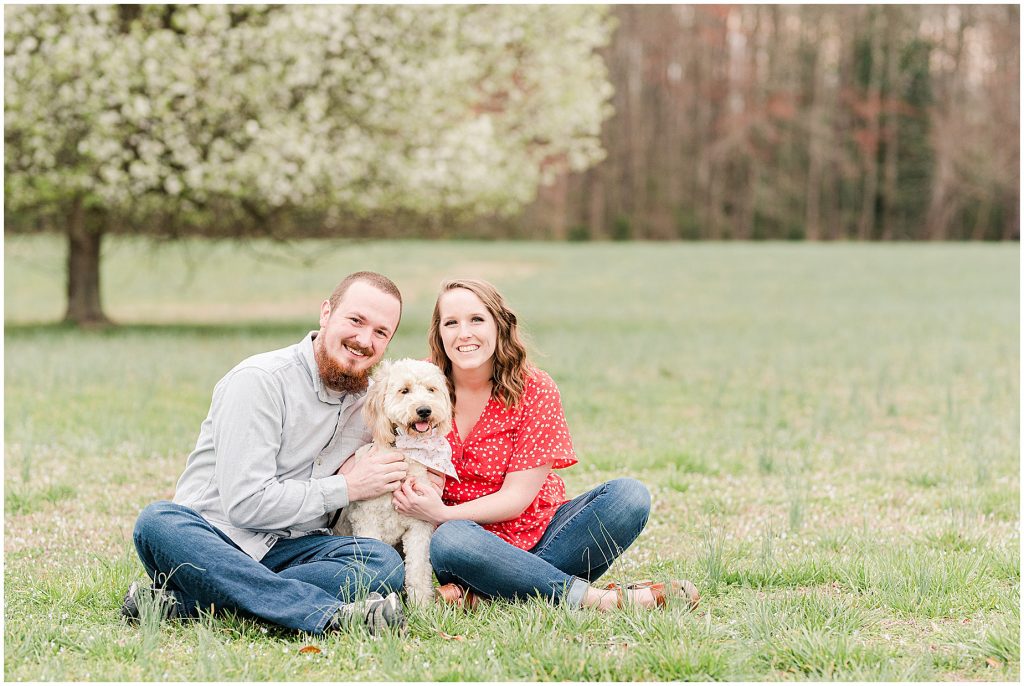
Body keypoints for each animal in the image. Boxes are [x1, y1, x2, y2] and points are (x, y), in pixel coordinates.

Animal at [333, 360, 454, 606]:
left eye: (431, 389)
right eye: (404, 390)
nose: (424, 410)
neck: (406, 452)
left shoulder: (419, 524)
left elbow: (418, 569)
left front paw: (422, 606)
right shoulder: (367, 521)